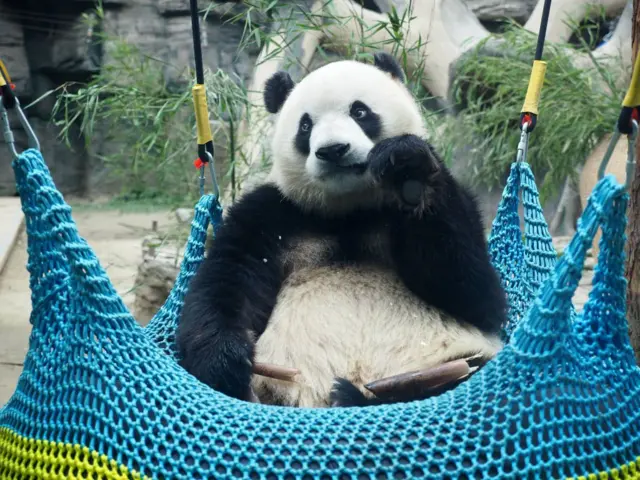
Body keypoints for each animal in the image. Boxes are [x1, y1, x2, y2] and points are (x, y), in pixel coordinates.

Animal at [176, 52, 507, 408]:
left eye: (360, 111)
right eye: (305, 125)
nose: (333, 150)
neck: (349, 210)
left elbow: (475, 294)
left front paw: (408, 171)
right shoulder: (273, 214)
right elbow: (228, 278)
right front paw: (225, 360)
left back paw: (359, 394)